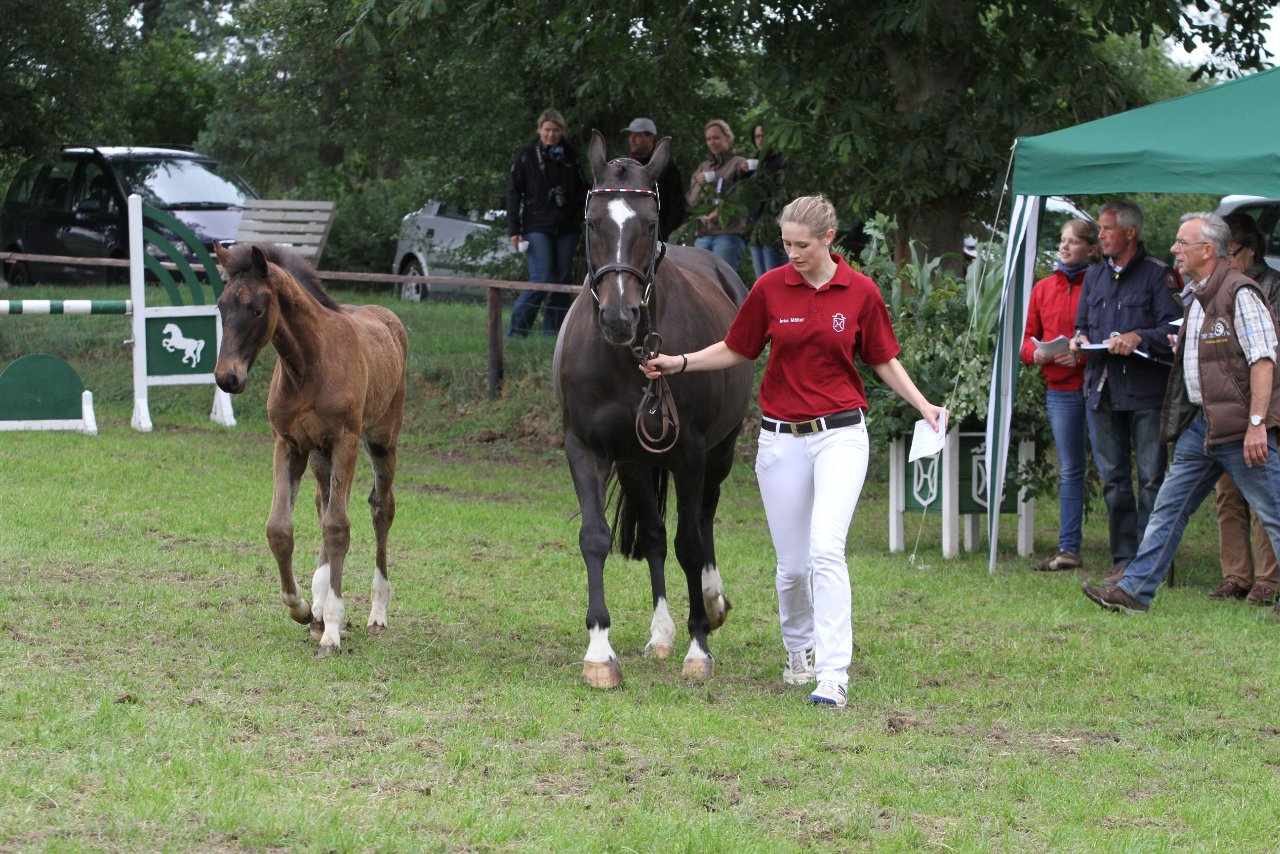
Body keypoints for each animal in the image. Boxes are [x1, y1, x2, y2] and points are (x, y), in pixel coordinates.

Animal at [212, 243, 407, 660]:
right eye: (221, 307)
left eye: (257, 309)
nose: (227, 377)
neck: (307, 365)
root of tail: (387, 318)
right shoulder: (288, 443)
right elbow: (280, 529)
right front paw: (302, 607)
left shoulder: (345, 440)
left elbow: (338, 528)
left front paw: (332, 629)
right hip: (320, 454)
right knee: (324, 502)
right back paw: (317, 606)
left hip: (381, 438)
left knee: (381, 508)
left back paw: (376, 612)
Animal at [555, 130, 752, 686]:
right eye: (592, 222)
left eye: (648, 224)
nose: (619, 317)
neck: (627, 360)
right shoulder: (588, 449)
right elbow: (596, 538)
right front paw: (600, 652)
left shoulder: (690, 453)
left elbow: (691, 542)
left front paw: (699, 648)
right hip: (638, 462)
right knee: (657, 536)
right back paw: (661, 633)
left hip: (718, 455)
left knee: (702, 523)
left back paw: (709, 602)